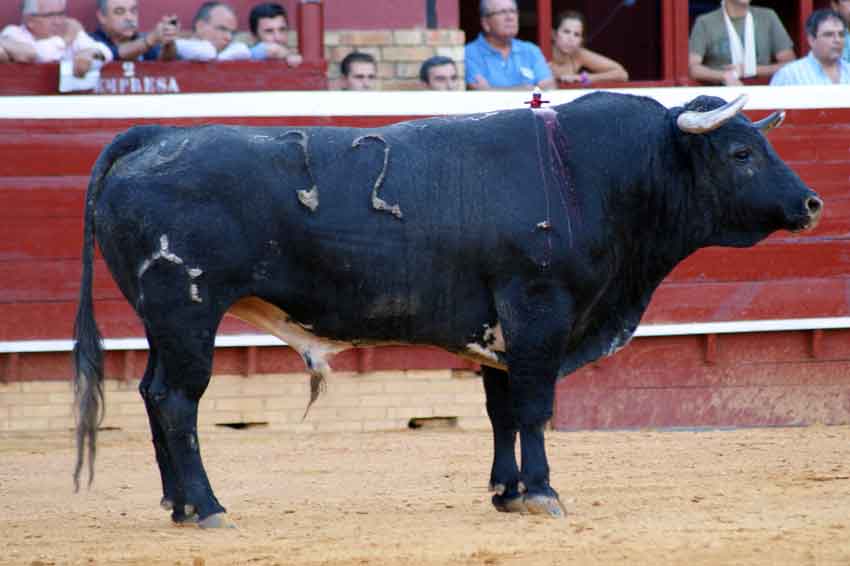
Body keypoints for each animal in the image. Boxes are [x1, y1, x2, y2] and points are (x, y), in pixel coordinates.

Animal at [74, 92, 820, 528]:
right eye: (741, 151)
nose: (811, 203)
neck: (590, 174)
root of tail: (154, 136)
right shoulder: (539, 311)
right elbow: (534, 408)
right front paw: (542, 494)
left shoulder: (500, 329)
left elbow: (500, 411)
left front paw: (506, 492)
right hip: (188, 311)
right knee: (179, 401)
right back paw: (206, 507)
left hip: (161, 321)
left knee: (151, 393)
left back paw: (176, 504)